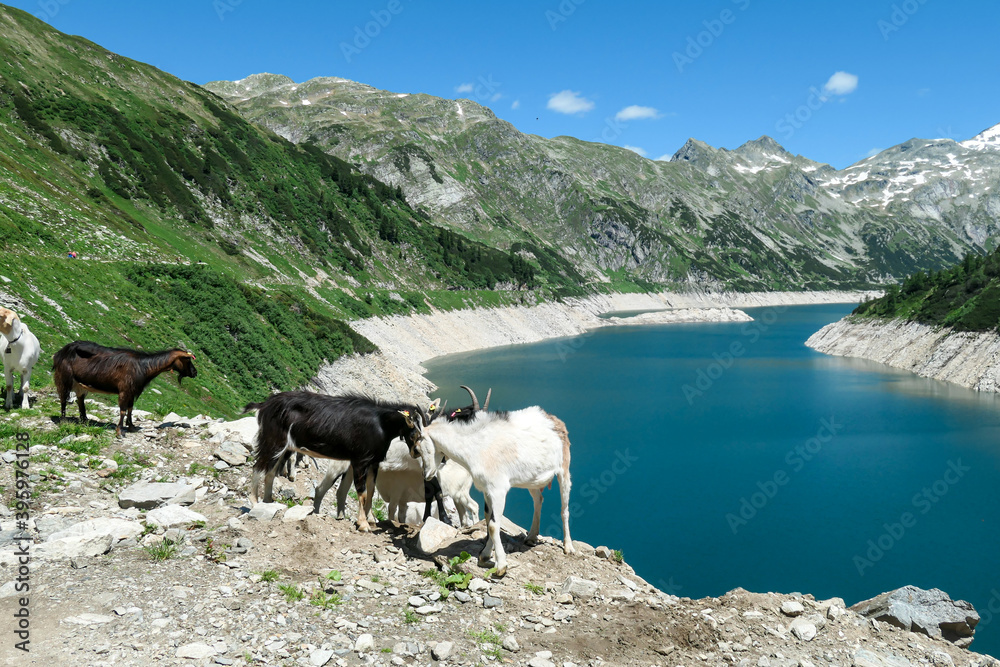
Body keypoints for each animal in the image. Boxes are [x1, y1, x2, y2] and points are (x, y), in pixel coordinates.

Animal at [52, 341, 197, 436]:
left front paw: (131, 426)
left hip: (79, 383)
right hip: (63, 377)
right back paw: (63, 419)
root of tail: (61, 352)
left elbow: (130, 409)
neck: (143, 367)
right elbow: (122, 410)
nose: (195, 373)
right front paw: (119, 431)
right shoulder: (124, 390)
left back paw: (85, 420)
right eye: (187, 360)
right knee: (63, 397)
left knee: (80, 400)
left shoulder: (132, 392)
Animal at [245, 391, 438, 532]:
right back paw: (254, 502)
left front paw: (369, 519)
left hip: (283, 447)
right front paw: (363, 524)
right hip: (273, 440)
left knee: (270, 471)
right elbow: (362, 492)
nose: (416, 452)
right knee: (257, 467)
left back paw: (268, 501)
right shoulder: (360, 460)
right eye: (415, 431)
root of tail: (265, 405)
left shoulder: (373, 462)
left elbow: (371, 491)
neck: (381, 424)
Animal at [416, 405, 574, 577]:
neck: (477, 447)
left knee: (564, 509)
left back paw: (568, 547)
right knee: (538, 499)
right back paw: (531, 537)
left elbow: (492, 524)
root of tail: (555, 421)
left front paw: (500, 566)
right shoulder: (487, 490)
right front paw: (485, 556)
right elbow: (488, 519)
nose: (426, 474)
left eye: (418, 447)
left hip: (563, 469)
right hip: (532, 479)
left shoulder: (498, 489)